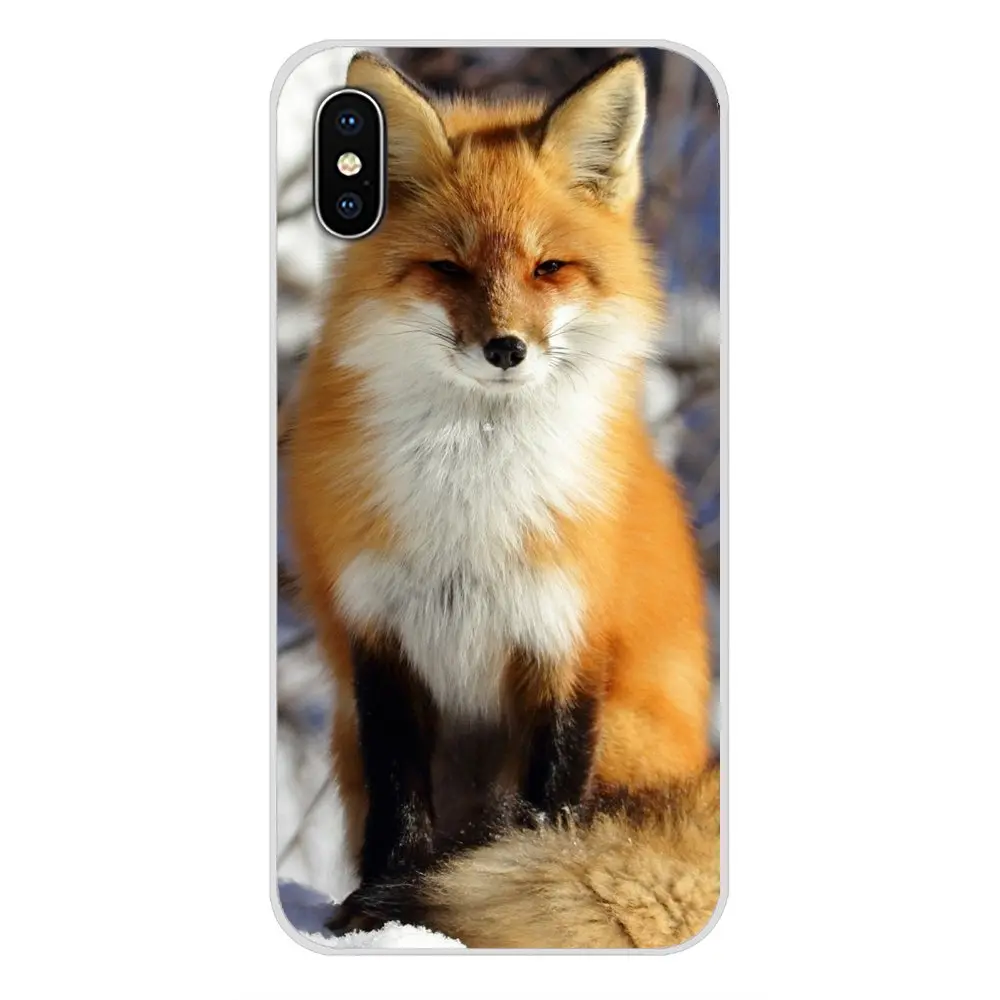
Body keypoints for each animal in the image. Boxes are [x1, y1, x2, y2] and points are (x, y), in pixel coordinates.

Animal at [282, 50, 721, 948]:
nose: (507, 349)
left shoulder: (567, 637)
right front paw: (380, 913)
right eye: (448, 268)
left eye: (549, 267)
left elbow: (545, 812)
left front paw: (467, 894)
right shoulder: (379, 633)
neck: (471, 497)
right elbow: (400, 801)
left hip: (627, 735)